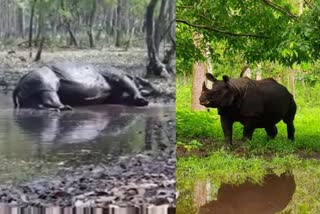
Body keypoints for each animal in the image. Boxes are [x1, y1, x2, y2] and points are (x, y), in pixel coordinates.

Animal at [12, 61, 151, 108]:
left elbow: (120, 98)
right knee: (49, 88)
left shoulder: (115, 95)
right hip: (42, 76)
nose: (144, 88)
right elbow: (127, 83)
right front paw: (142, 101)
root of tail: (17, 84)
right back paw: (65, 107)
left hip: (27, 85)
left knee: (32, 100)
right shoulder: (116, 75)